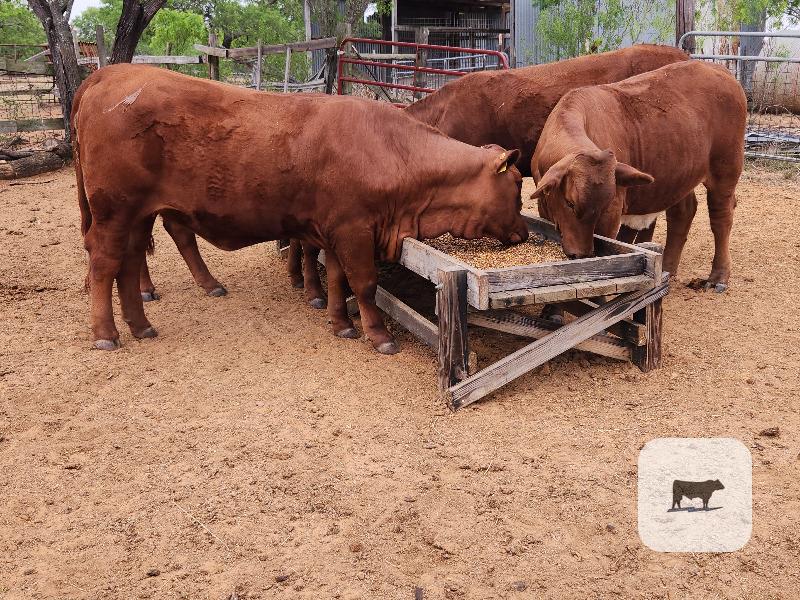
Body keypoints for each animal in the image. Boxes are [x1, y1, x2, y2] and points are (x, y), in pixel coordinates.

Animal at [72, 64, 528, 353]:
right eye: (518, 184)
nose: (524, 232)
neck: (390, 150)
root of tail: (109, 75)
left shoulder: (336, 229)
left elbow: (337, 278)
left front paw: (341, 323)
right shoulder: (354, 229)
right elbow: (363, 284)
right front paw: (378, 336)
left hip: (137, 215)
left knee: (130, 262)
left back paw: (141, 324)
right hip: (115, 211)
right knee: (105, 262)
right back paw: (105, 332)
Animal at [530, 60, 746, 291]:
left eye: (606, 205)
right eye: (569, 203)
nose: (581, 254)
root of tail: (716, 68)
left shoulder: (613, 212)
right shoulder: (544, 208)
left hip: (725, 169)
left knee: (721, 218)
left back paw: (718, 277)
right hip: (679, 175)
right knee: (683, 212)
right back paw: (667, 268)